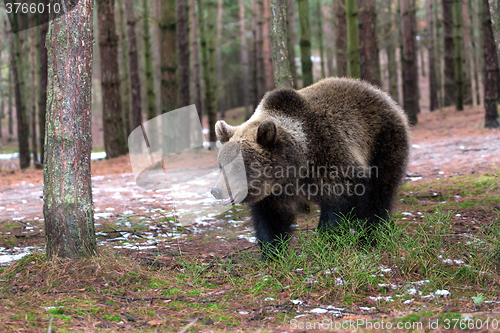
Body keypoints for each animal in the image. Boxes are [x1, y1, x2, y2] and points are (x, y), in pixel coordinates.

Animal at [211, 77, 410, 256]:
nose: (216, 190)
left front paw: (328, 238)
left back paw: (372, 233)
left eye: (238, 167)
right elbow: (270, 219)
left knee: (379, 194)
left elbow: (339, 202)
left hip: (383, 142)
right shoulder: (274, 192)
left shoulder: (331, 158)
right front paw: (272, 251)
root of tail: (382, 94)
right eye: (221, 165)